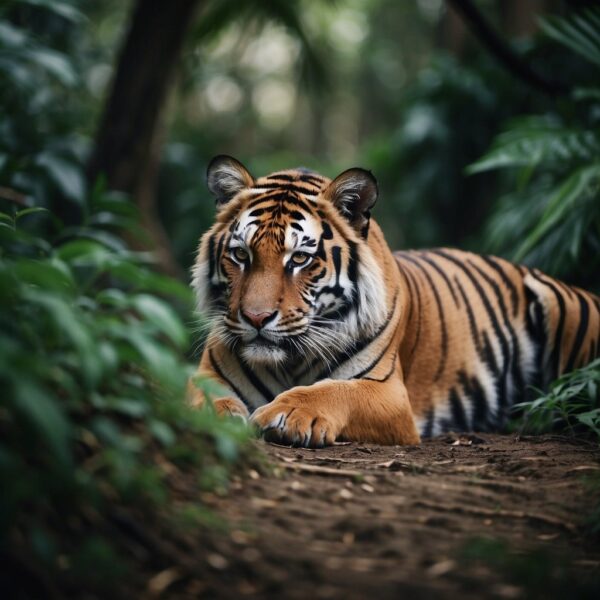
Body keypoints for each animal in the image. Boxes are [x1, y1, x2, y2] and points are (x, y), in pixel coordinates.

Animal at [191, 157, 600, 448]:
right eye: (241, 255)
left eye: (300, 259)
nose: (256, 318)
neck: (288, 364)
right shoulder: (208, 372)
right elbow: (199, 393)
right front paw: (214, 413)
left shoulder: (388, 392)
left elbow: (334, 390)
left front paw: (285, 412)